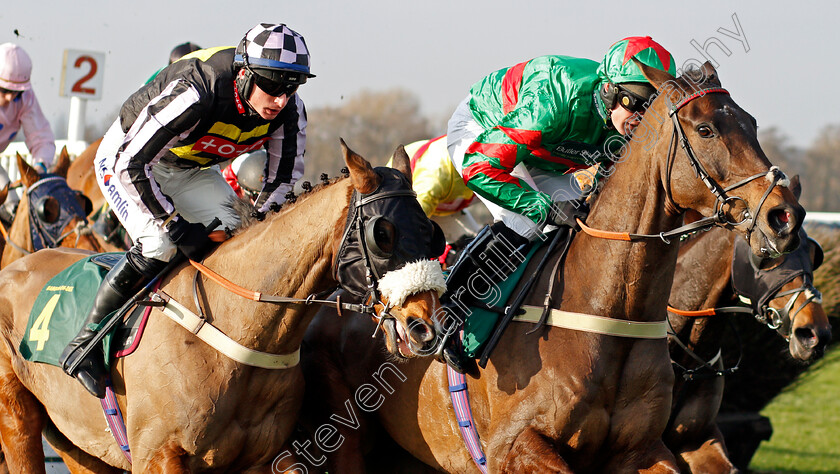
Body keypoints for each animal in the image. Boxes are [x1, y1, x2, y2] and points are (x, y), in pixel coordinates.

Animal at [0, 142, 446, 474]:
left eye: (432, 233)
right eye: (382, 234)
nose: (425, 328)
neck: (237, 329)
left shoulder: (263, 458)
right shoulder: (157, 456)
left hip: (81, 445)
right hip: (18, 421)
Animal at [292, 61, 804, 472]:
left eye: (752, 122)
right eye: (705, 130)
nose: (785, 217)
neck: (607, 311)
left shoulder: (644, 450)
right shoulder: (512, 447)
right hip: (349, 439)